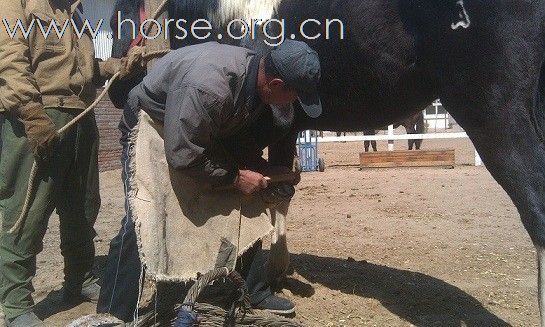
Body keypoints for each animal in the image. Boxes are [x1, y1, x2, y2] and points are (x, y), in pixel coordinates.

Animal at [110, 0, 544, 322]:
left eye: (118, 20)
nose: (115, 91)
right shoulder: (285, 124)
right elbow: (280, 190)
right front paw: (275, 272)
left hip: (492, 108)